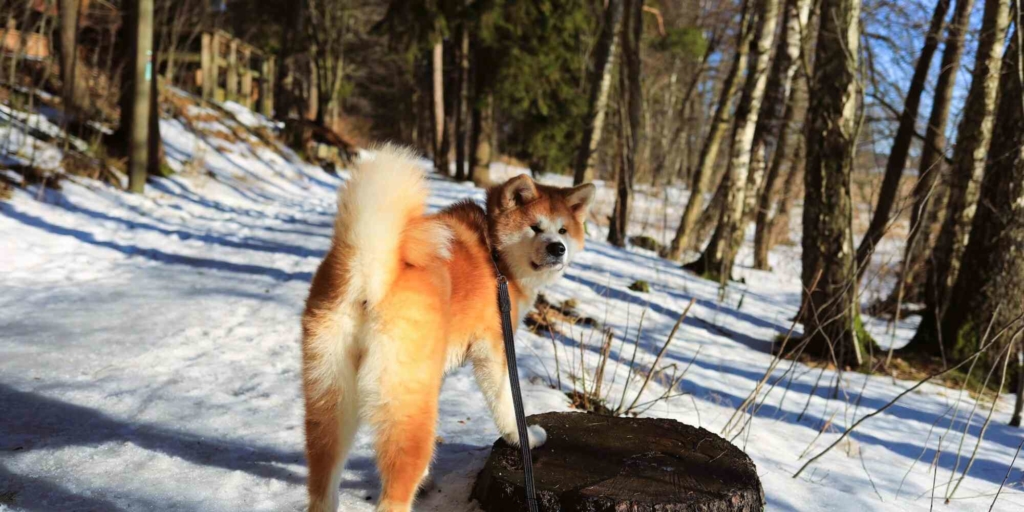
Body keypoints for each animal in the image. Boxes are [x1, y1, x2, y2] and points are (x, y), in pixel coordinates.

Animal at [299, 145, 598, 512]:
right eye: (535, 227)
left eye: (563, 231)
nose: (558, 248)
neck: (495, 256)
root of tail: (370, 270)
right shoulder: (494, 351)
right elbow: (507, 404)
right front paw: (523, 437)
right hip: (407, 407)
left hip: (332, 401)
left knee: (322, 485)